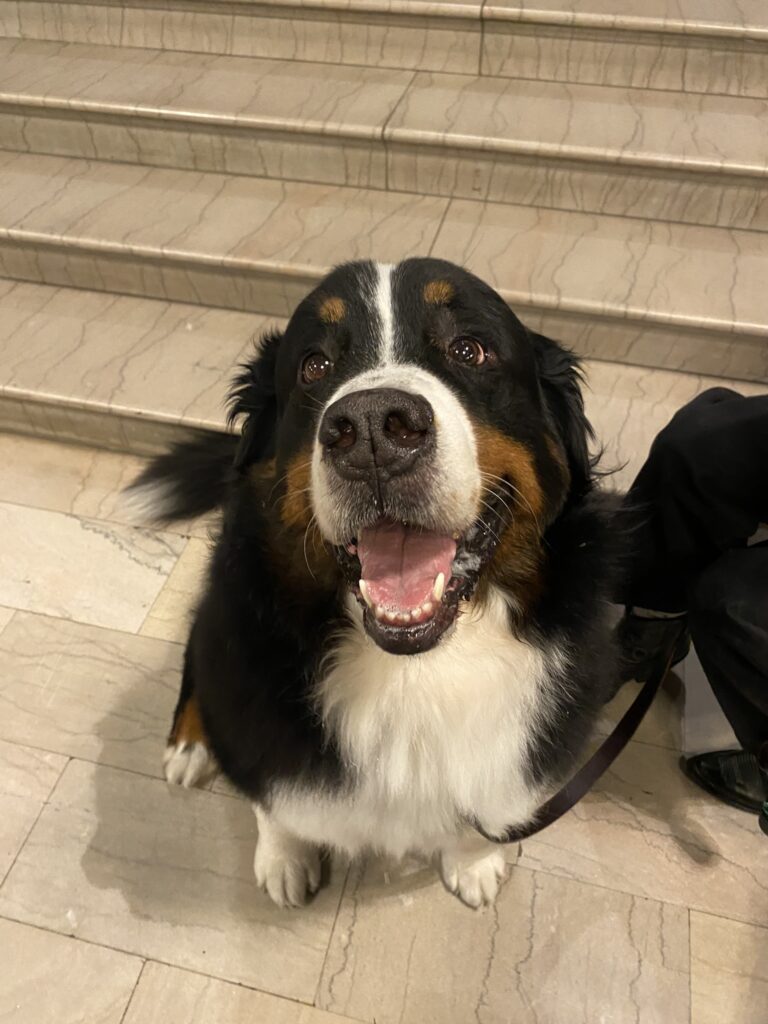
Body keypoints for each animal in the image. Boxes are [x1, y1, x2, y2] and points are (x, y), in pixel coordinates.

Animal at [131, 260, 618, 909]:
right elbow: (273, 799)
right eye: (314, 365)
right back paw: (191, 744)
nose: (370, 431)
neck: (414, 670)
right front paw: (285, 857)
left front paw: (475, 860)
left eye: (470, 349)